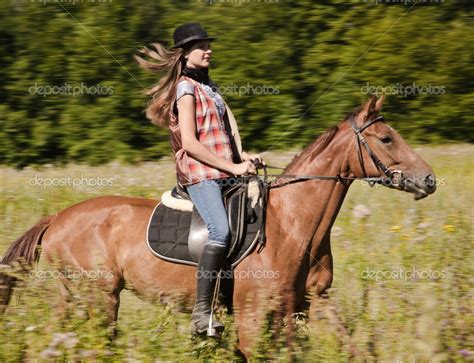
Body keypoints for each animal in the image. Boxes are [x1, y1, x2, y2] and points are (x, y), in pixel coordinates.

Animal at [0, 96, 436, 358]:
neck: (293, 225)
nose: (429, 180)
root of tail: (57, 218)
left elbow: (349, 346)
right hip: (99, 297)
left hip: (73, 297)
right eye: (386, 138)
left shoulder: (308, 303)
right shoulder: (253, 315)